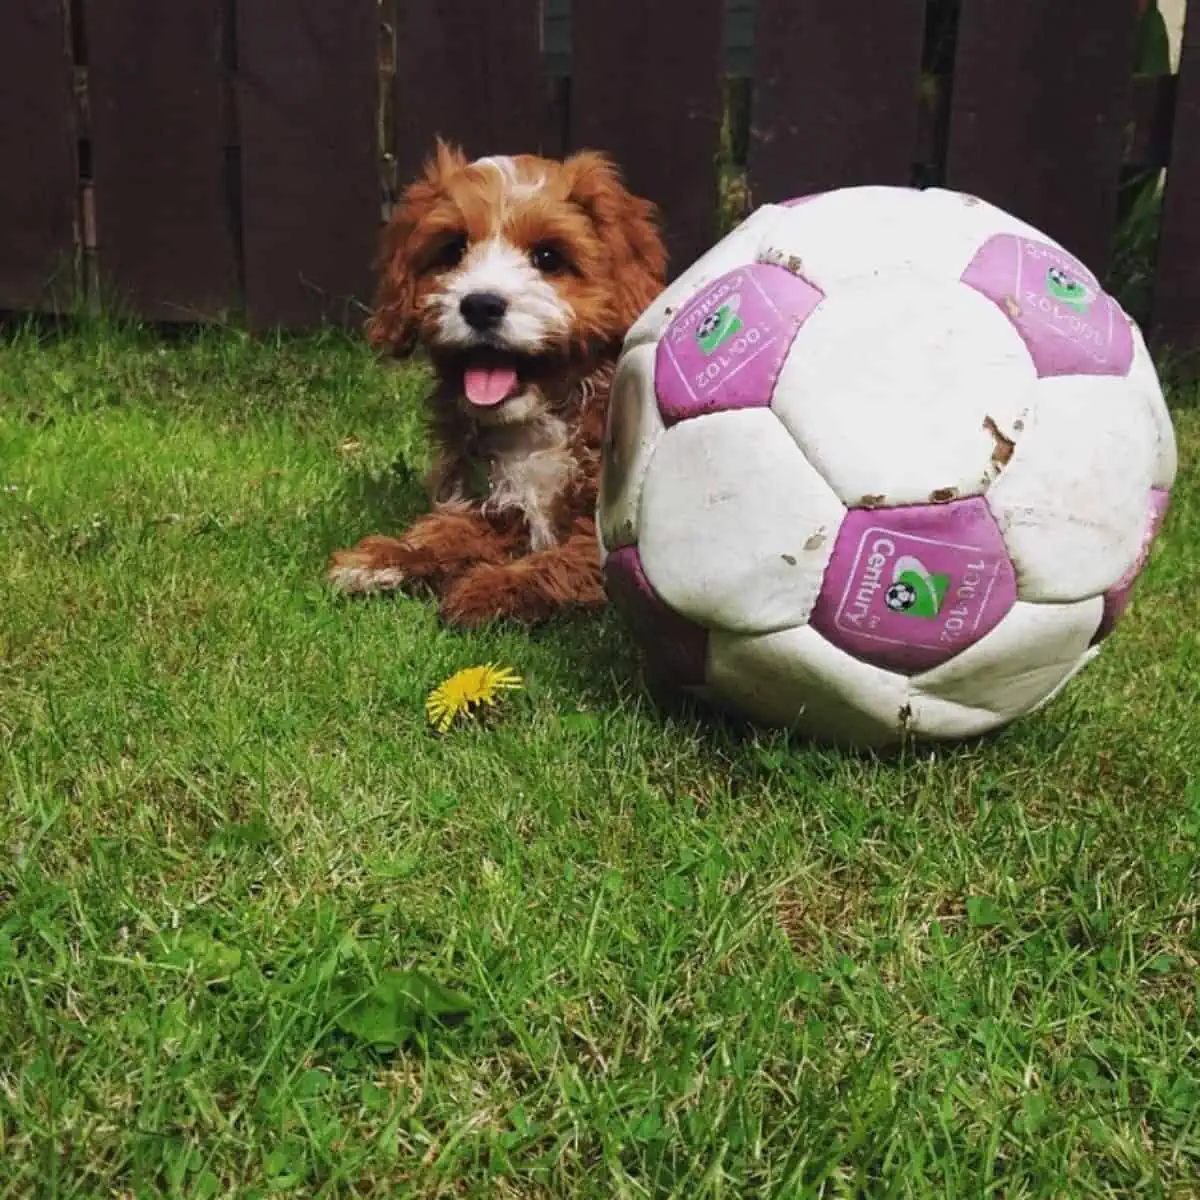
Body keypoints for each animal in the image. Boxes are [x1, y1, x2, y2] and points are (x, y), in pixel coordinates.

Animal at [328, 141, 667, 628]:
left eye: (547, 257)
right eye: (453, 250)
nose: (480, 305)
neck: (535, 423)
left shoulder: (601, 534)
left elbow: (566, 559)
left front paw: (490, 588)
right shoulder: (487, 503)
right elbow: (447, 529)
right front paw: (386, 557)